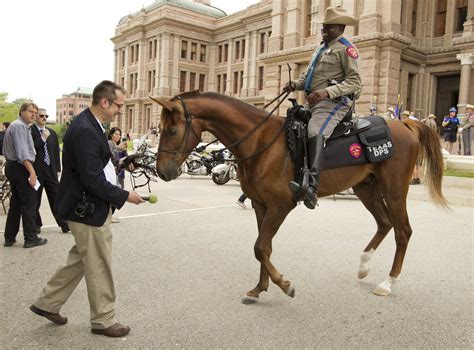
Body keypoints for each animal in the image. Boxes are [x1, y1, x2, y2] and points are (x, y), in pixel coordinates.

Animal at [152, 91, 448, 302]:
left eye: (172, 130)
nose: (162, 171)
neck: (261, 141)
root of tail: (405, 124)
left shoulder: (281, 205)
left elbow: (260, 247)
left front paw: (284, 285)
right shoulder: (261, 205)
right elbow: (264, 247)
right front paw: (259, 288)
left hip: (395, 190)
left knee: (402, 231)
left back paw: (388, 283)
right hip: (366, 188)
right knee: (384, 223)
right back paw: (363, 266)